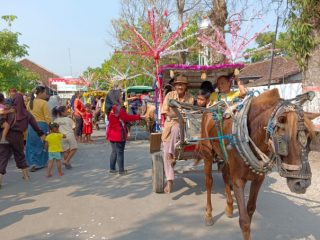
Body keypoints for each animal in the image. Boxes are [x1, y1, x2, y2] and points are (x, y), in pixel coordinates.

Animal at [198, 89, 318, 240]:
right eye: (282, 141)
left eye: (309, 139)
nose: (302, 184)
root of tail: (210, 107)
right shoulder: (238, 180)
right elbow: (244, 220)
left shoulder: (258, 179)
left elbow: (250, 210)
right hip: (207, 153)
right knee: (209, 182)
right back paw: (208, 214)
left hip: (225, 157)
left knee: (225, 174)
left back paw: (230, 207)